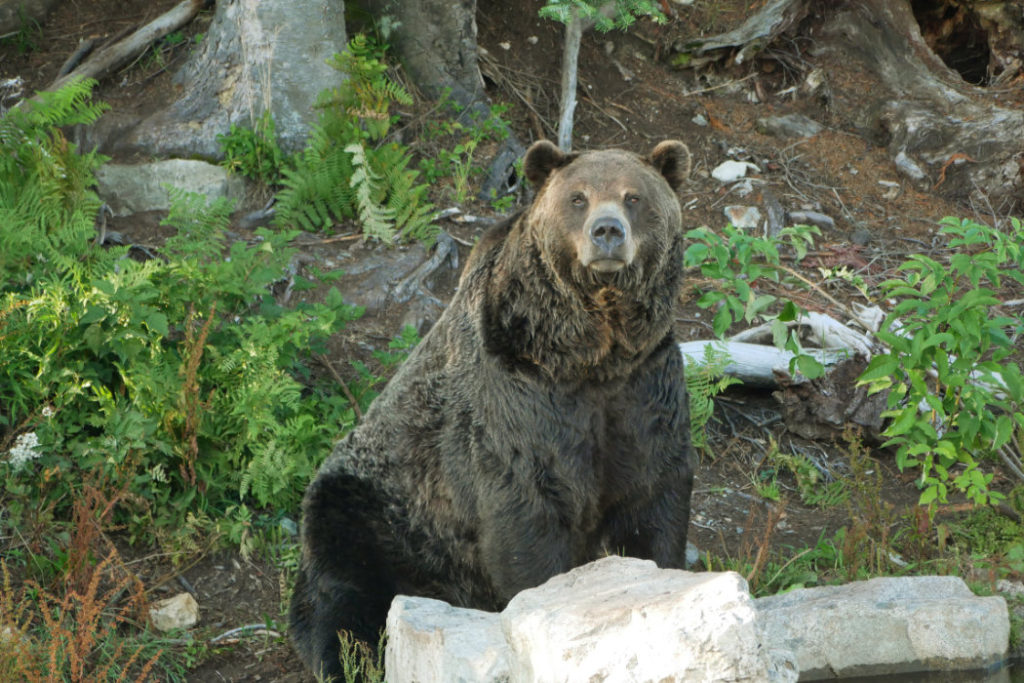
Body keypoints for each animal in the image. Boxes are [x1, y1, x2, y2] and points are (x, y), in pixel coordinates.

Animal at [289, 139, 695, 679]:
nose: (607, 232)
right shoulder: (518, 398)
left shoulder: (643, 388)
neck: (592, 352)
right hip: (366, 513)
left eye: (634, 197)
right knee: (344, 603)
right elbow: (526, 517)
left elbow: (652, 497)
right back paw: (349, 659)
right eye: (578, 198)